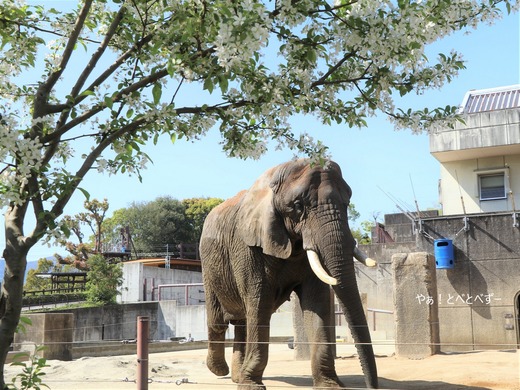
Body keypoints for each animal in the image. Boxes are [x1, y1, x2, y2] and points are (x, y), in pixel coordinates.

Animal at [199, 159, 378, 390]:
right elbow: (259, 303)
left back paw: (236, 376)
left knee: (242, 322)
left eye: (347, 203)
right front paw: (251, 386)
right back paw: (218, 369)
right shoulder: (248, 248)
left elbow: (316, 302)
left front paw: (330, 385)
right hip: (208, 266)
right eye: (299, 206)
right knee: (219, 320)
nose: (372, 386)